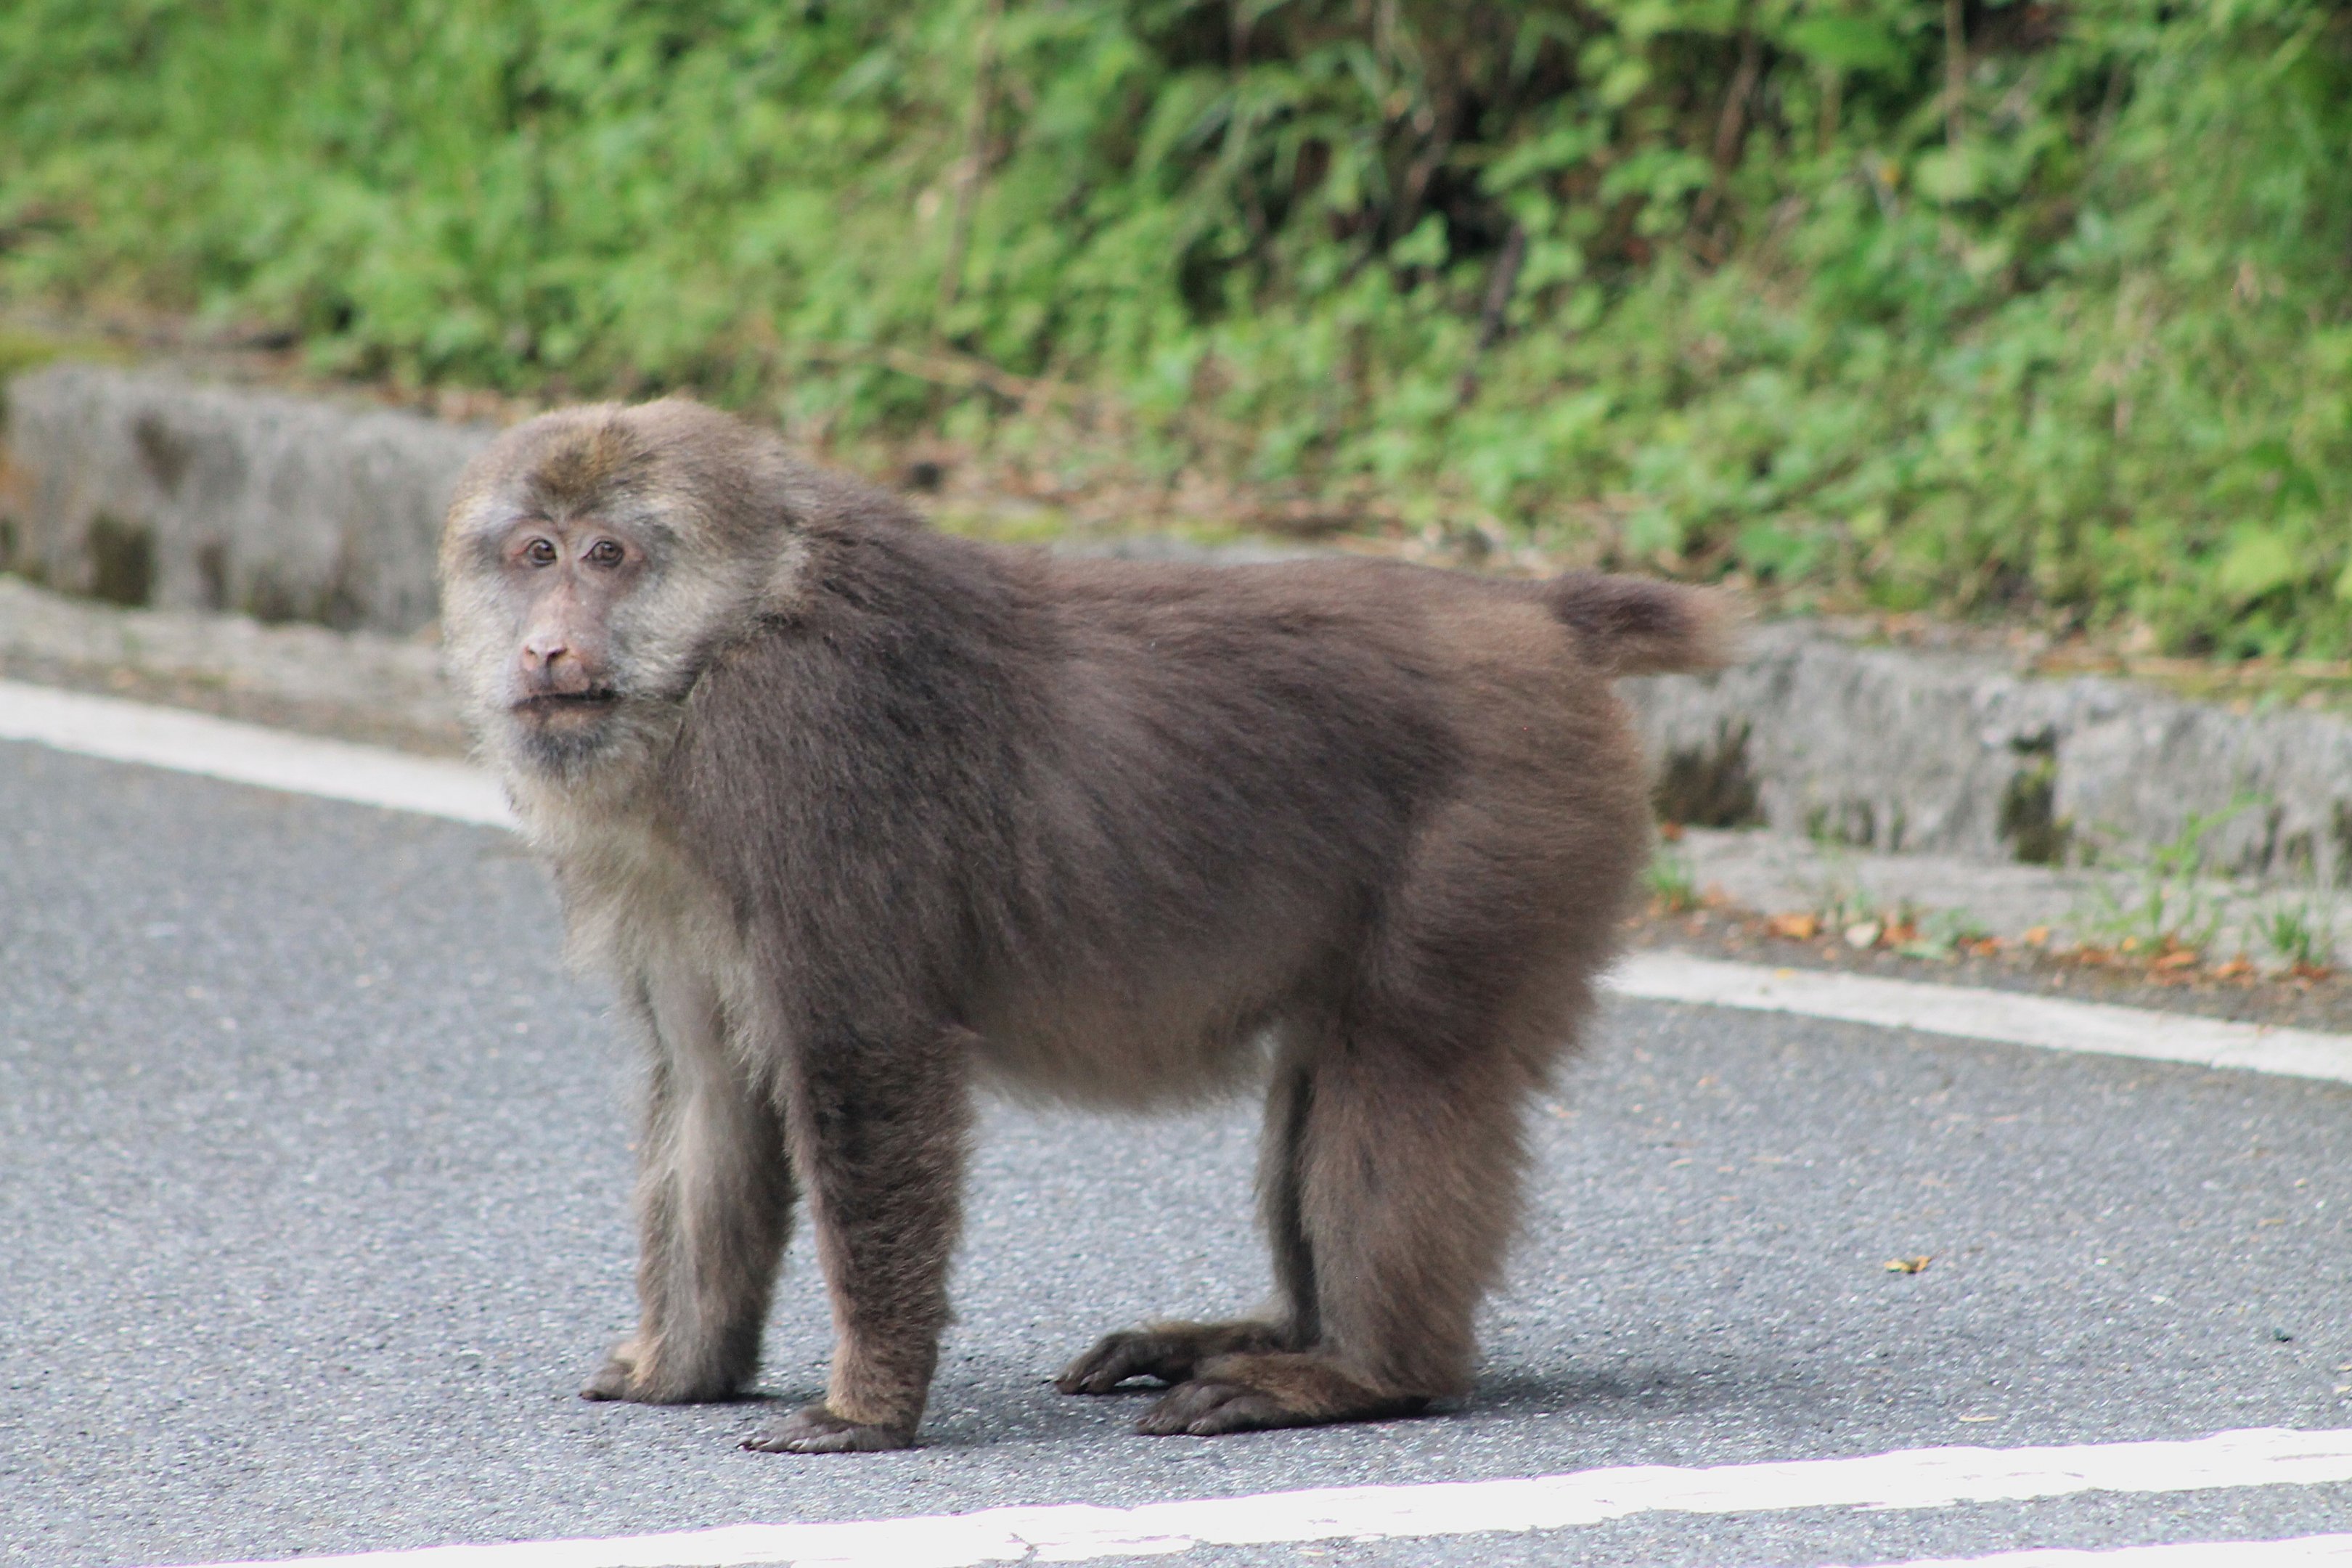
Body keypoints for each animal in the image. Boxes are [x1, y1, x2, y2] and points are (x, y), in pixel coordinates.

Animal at [436, 397, 1728, 1454]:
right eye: (534, 553)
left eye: (610, 556)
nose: (546, 646)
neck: (720, 653)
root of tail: (1537, 611)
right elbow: (712, 1084)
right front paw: (682, 1368)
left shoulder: (799, 759)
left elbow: (864, 1053)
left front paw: (869, 1405)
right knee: (1330, 1065)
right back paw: (1268, 1337)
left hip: (1504, 835)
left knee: (1403, 1064)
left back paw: (1361, 1374)